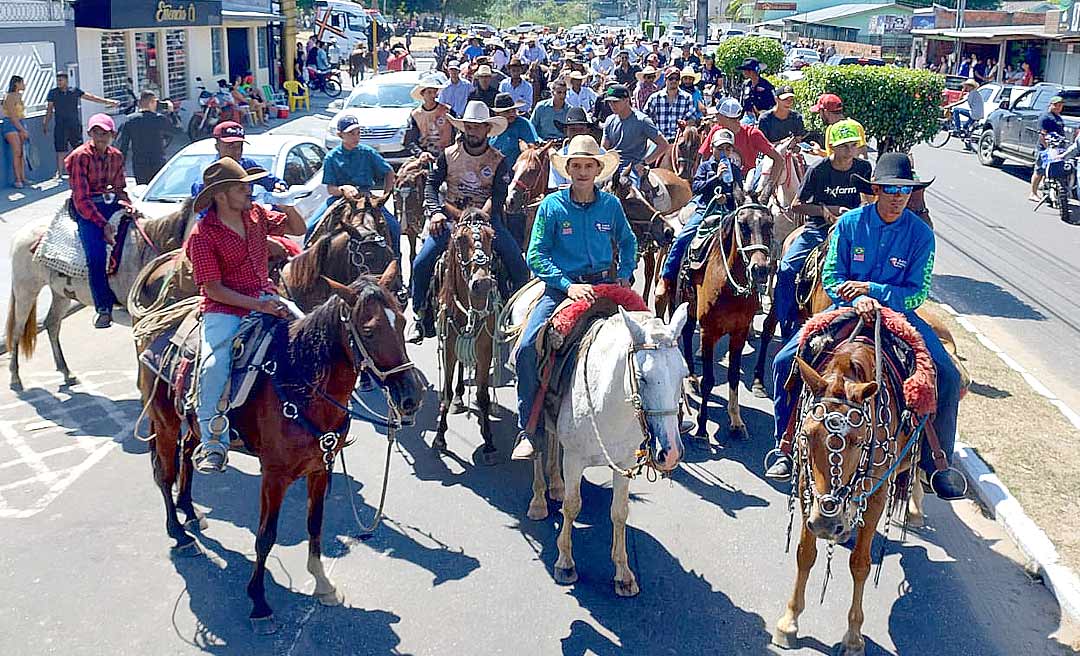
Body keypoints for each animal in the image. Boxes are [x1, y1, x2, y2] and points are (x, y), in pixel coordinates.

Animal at [4, 199, 193, 393]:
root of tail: (20, 234)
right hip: (26, 290)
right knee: (18, 329)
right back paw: (15, 377)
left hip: (60, 294)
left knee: (52, 324)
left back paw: (66, 373)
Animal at [135, 274, 421, 635]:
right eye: (368, 331)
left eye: (402, 320)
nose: (411, 397)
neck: (303, 386)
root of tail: (156, 332)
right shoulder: (274, 476)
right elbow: (265, 536)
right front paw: (259, 602)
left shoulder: (320, 467)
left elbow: (315, 524)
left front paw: (322, 584)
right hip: (165, 423)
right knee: (165, 474)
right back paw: (179, 533)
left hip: (193, 424)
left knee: (187, 454)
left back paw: (189, 508)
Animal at [429, 209, 501, 462]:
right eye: (460, 238)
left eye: (492, 236)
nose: (482, 284)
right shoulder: (448, 347)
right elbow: (446, 392)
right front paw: (440, 437)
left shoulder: (485, 348)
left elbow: (483, 395)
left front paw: (489, 442)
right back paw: (459, 396)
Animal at [507, 285, 691, 596]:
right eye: (641, 377)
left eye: (684, 374)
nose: (671, 453)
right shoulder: (575, 460)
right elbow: (572, 506)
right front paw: (565, 563)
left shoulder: (624, 463)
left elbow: (619, 512)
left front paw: (623, 574)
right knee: (538, 444)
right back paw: (540, 499)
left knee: (553, 440)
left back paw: (555, 485)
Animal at [678, 190, 773, 438]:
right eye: (743, 225)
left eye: (769, 224)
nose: (761, 269)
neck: (730, 286)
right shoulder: (708, 333)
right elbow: (710, 380)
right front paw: (702, 425)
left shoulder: (739, 333)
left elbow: (733, 377)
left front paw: (736, 421)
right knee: (685, 335)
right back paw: (691, 378)